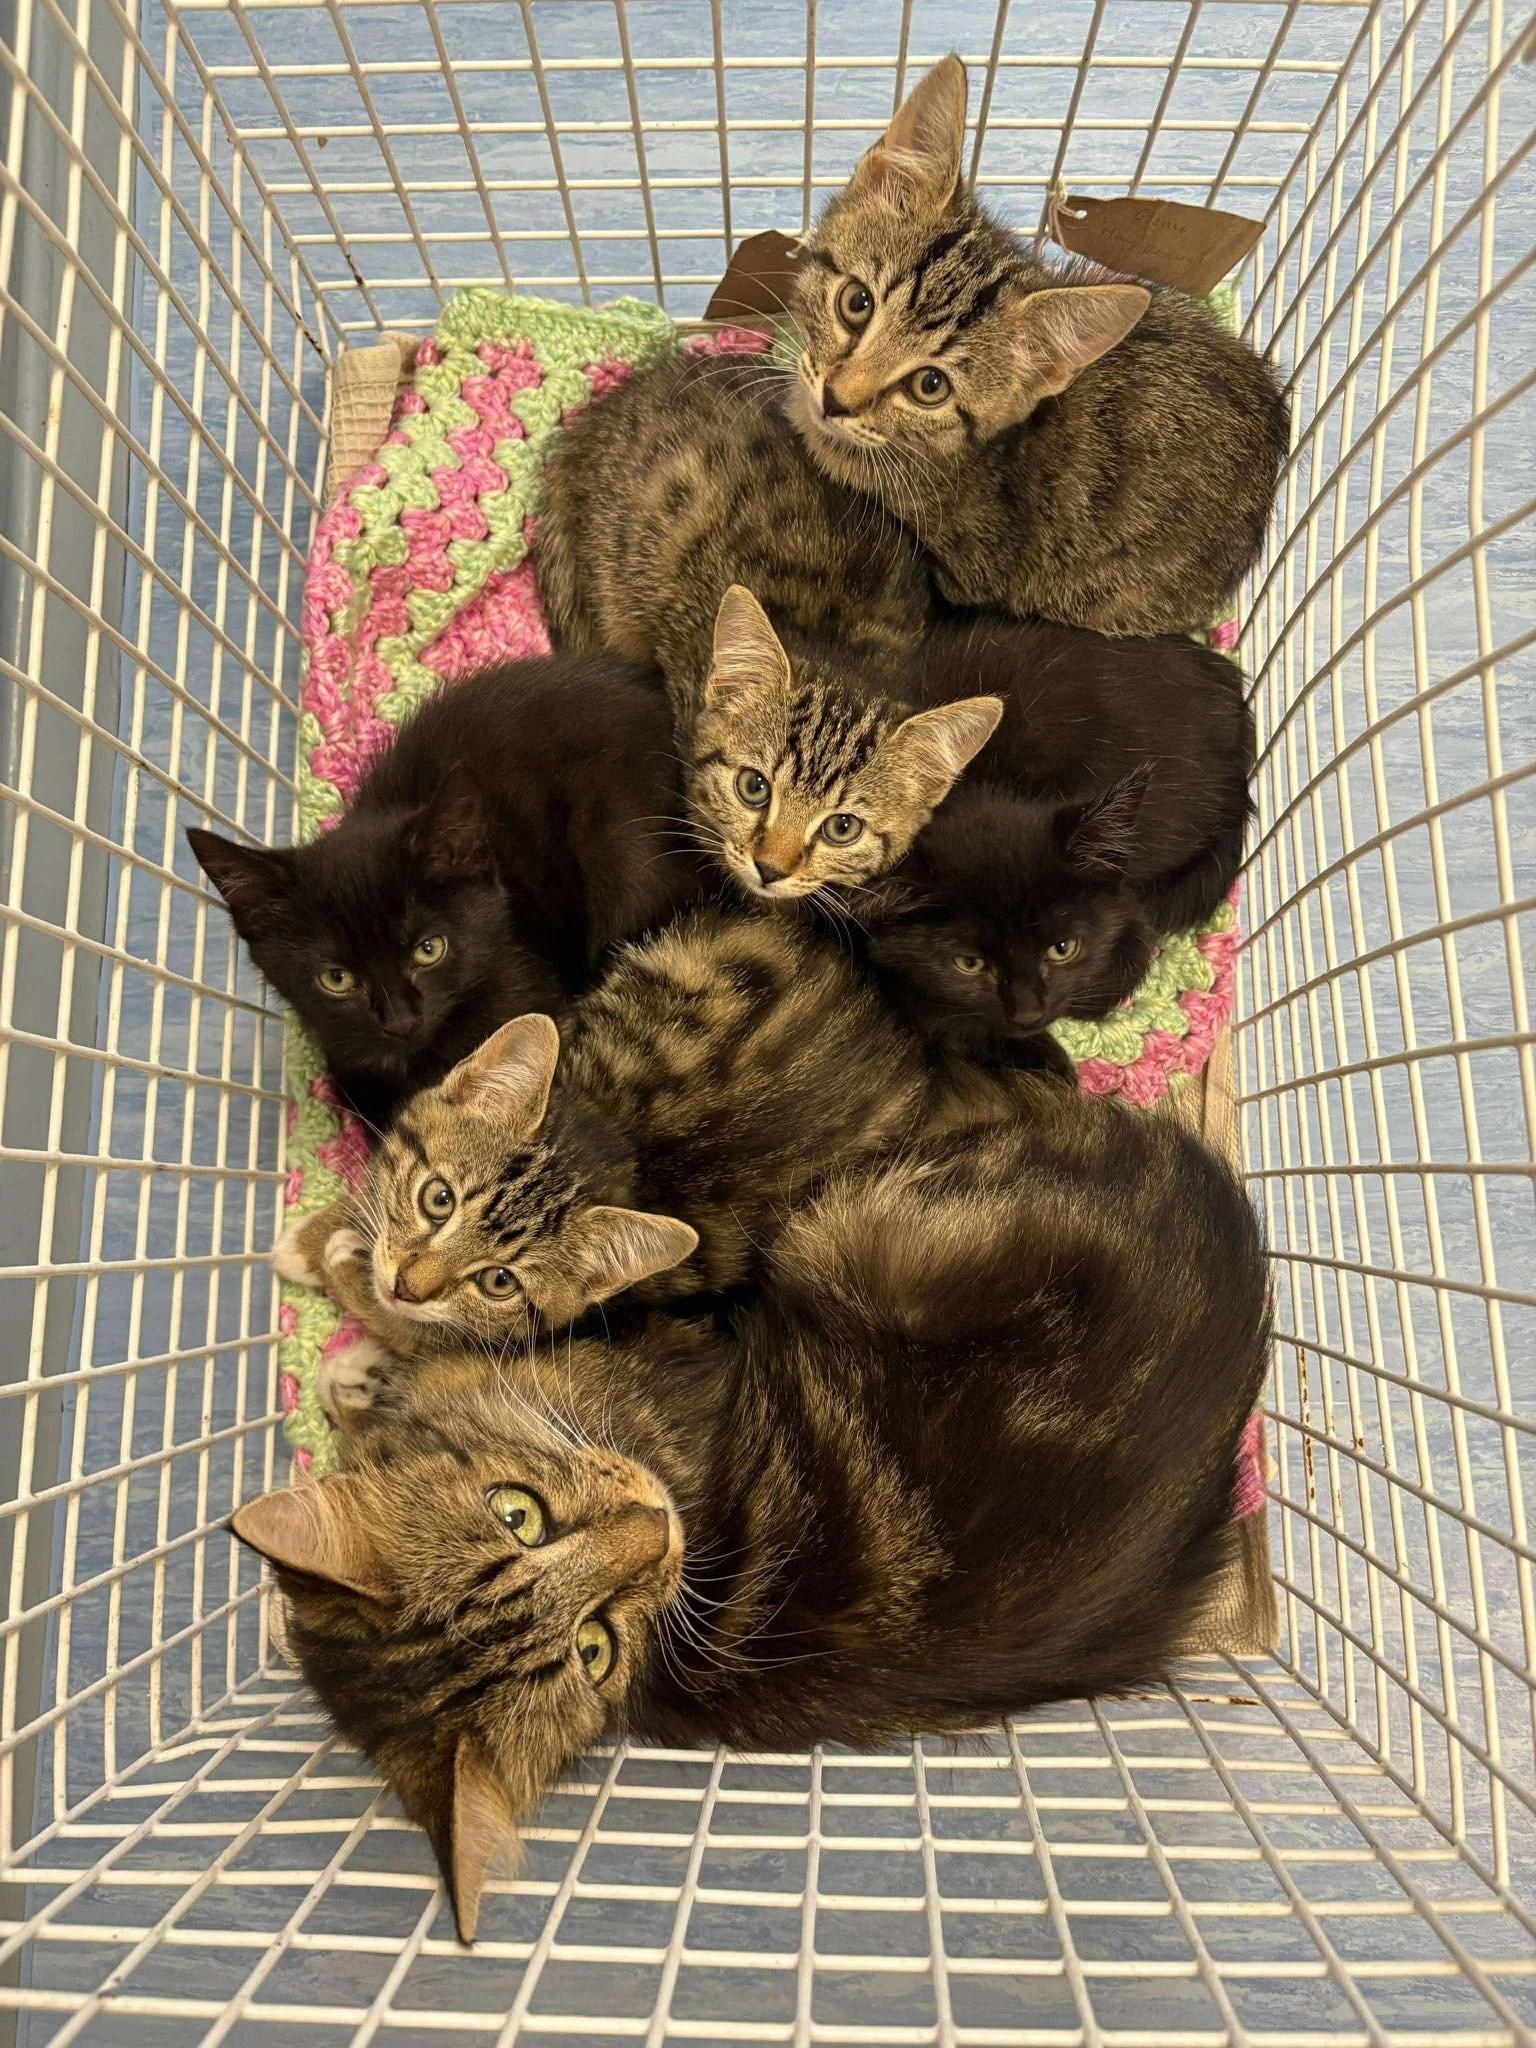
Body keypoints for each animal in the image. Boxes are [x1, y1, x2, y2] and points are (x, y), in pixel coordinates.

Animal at [233, 1081, 1270, 1941]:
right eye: (595, 1650)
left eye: (518, 1514)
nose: (657, 1528)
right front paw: (356, 1332)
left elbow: (423, 1315)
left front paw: (339, 1272)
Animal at [275, 906, 931, 1351]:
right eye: (438, 1199)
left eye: (498, 1282)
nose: (407, 1286)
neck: (615, 1130)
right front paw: (317, 1234)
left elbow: (400, 1327)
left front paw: (332, 1257)